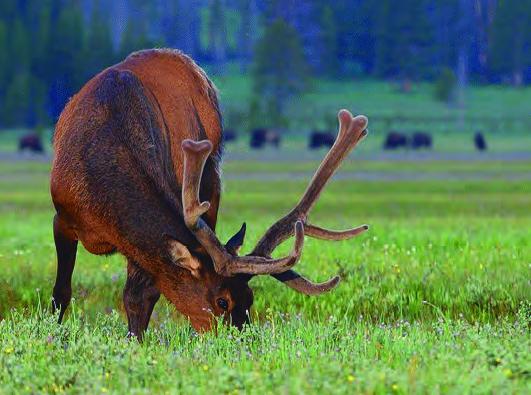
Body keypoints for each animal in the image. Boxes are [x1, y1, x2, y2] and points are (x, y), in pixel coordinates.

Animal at [52, 48, 372, 340]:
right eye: (222, 301)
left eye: (250, 299)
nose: (243, 341)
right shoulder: (62, 217)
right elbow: (61, 292)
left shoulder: (139, 248)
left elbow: (138, 298)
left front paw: (136, 343)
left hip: (211, 180)